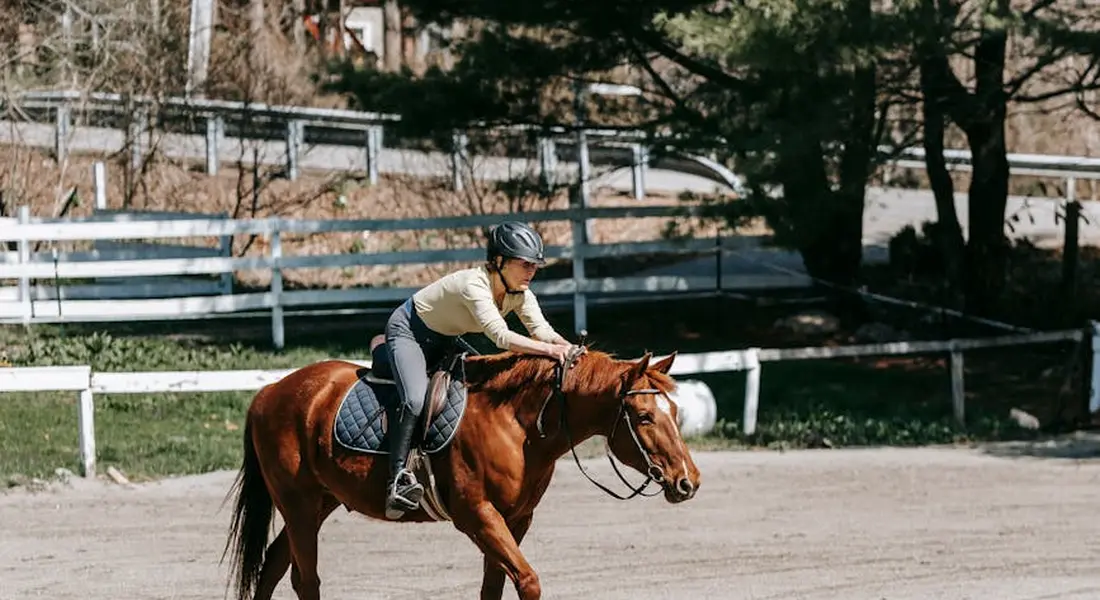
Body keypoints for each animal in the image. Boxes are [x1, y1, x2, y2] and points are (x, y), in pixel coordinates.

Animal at [221, 341, 702, 600]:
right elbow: (527, 580)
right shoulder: (477, 516)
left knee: (273, 566)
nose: (688, 481)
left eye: (675, 411)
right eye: (644, 416)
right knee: (306, 579)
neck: (517, 423)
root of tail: (270, 391)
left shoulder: (515, 520)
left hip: (319, 504)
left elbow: (495, 586)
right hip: (299, 506)